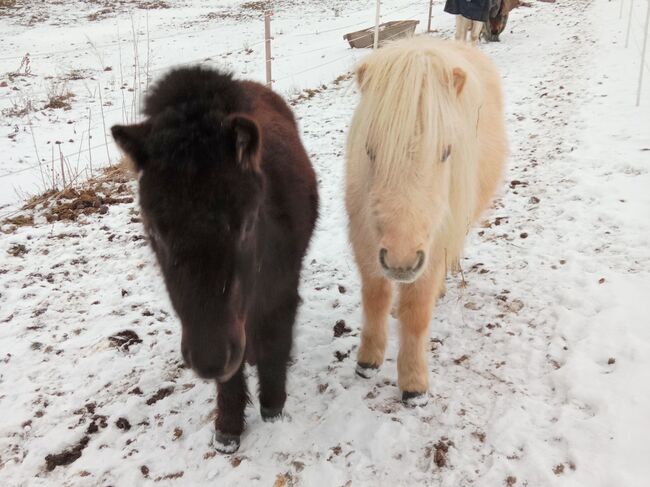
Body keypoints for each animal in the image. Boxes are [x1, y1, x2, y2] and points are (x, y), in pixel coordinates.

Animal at [112, 66, 318, 456]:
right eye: (153, 229)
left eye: (248, 223)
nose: (208, 360)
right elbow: (231, 378)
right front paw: (228, 429)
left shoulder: (280, 292)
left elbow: (275, 344)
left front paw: (273, 408)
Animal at [344, 37, 506, 404]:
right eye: (370, 150)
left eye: (446, 152)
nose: (401, 260)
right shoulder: (366, 239)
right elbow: (375, 294)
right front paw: (368, 359)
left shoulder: (431, 247)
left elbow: (417, 313)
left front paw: (414, 383)